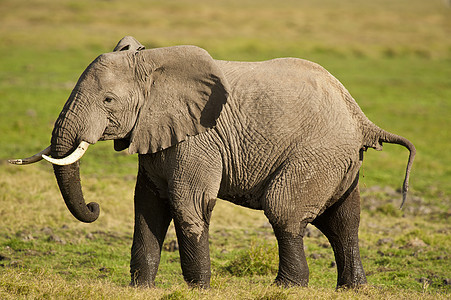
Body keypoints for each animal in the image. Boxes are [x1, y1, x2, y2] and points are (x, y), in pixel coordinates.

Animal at [7, 36, 416, 290]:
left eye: (108, 100)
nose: (93, 206)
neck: (154, 63)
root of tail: (361, 118)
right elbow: (147, 206)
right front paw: (141, 288)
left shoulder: (198, 140)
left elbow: (189, 203)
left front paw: (197, 288)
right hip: (339, 160)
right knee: (345, 219)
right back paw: (352, 288)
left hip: (317, 153)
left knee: (284, 211)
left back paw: (287, 286)